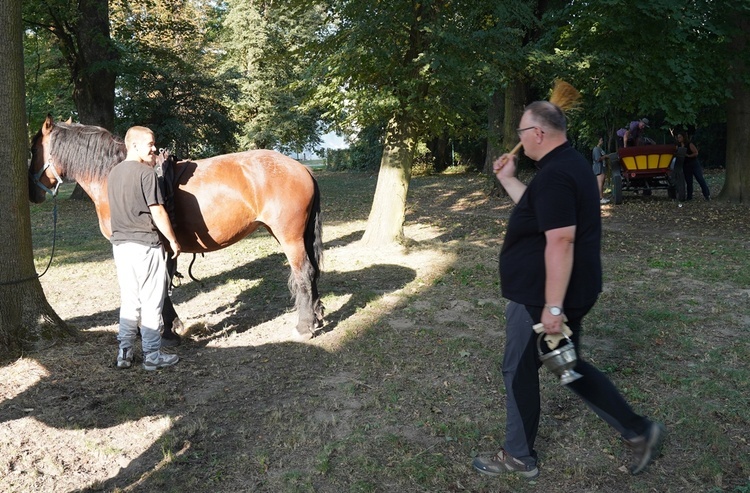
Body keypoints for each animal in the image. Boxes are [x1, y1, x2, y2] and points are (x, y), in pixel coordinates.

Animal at [28, 115, 326, 338]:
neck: (116, 175)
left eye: (33, 149)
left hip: (289, 237)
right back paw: (316, 315)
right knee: (312, 272)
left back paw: (304, 326)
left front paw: (168, 327)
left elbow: (154, 284)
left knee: (303, 273)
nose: (33, 193)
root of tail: (301, 168)